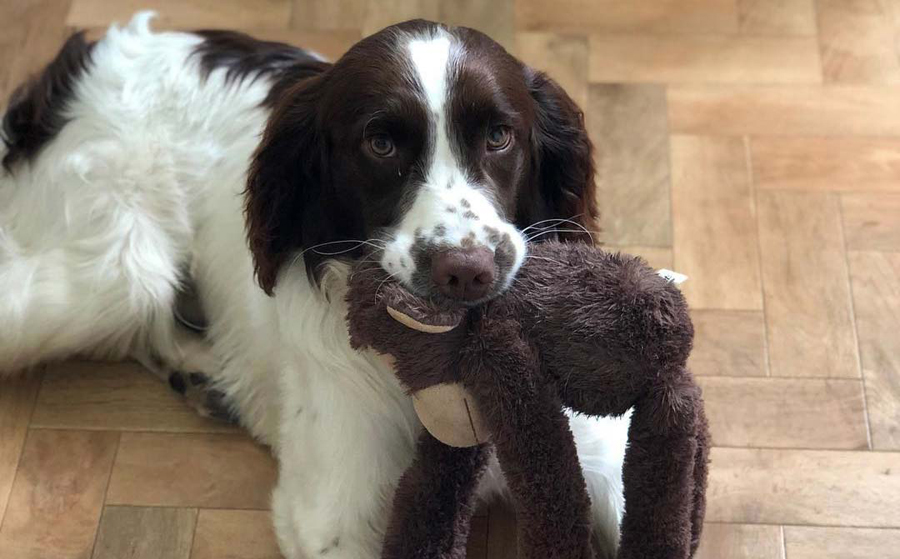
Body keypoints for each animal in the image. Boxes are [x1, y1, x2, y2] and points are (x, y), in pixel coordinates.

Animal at [0, 13, 628, 559]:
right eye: (381, 144)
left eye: (499, 136)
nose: (467, 271)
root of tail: (86, 60)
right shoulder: (334, 515)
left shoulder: (600, 460)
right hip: (108, 277)